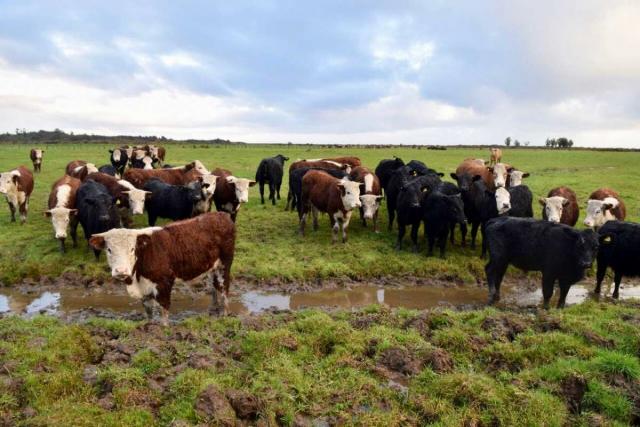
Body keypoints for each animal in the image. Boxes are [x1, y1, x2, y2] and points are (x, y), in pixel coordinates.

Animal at [89, 213, 235, 324]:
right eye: (109, 249)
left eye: (132, 249)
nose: (121, 271)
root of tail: (220, 215)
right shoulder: (144, 289)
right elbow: (148, 311)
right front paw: (149, 325)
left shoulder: (164, 282)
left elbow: (164, 310)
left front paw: (164, 328)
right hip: (213, 268)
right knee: (214, 286)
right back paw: (213, 309)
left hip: (224, 265)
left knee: (224, 288)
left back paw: (225, 314)